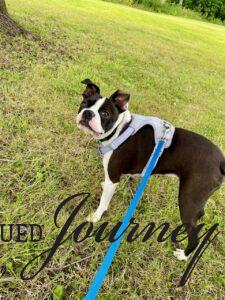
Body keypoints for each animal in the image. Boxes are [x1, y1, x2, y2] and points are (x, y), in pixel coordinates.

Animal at [76, 79, 224, 260]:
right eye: (84, 104)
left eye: (104, 114)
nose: (87, 114)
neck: (120, 131)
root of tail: (221, 160)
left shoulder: (114, 176)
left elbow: (104, 201)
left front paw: (95, 218)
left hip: (187, 200)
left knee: (193, 234)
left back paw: (183, 255)